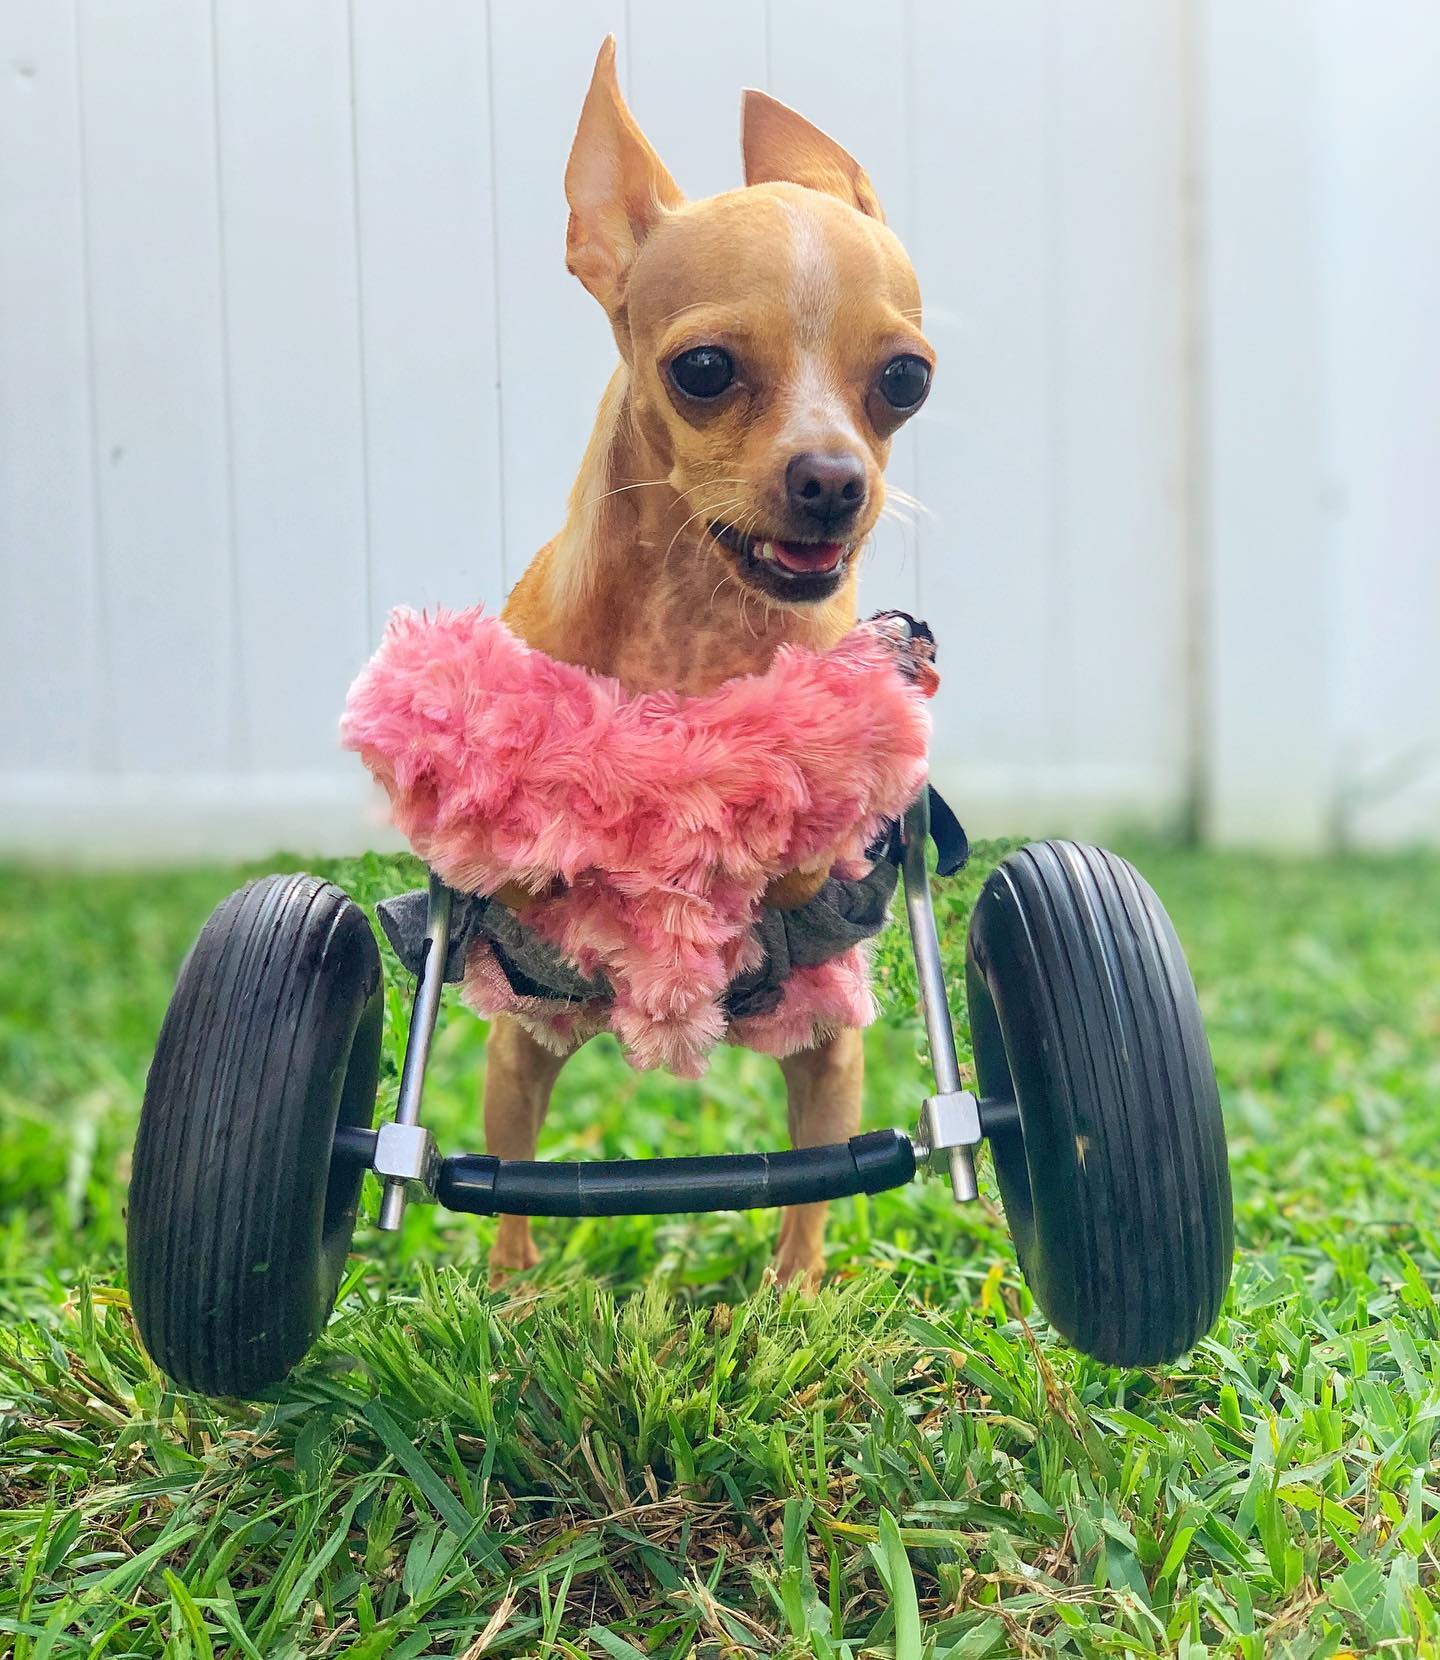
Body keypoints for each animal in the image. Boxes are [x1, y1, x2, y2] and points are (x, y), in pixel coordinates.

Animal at [484, 35, 936, 1281]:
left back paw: (793, 1294)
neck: (695, 621)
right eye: (703, 371)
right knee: (508, 1183)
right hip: (520, 1049)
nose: (835, 480)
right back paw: (511, 1293)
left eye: (906, 379)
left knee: (814, 1191)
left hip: (828, 1057)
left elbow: (803, 837)